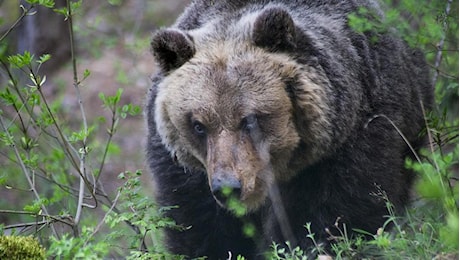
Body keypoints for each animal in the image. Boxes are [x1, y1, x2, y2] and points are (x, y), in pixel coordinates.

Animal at [146, 0, 434, 258]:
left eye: (250, 119)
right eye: (198, 125)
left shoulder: (350, 142)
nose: (228, 187)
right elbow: (200, 225)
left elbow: (339, 213)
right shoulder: (188, 173)